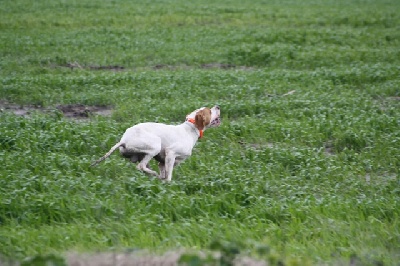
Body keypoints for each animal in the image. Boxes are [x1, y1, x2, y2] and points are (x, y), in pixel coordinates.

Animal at [90, 105, 220, 182]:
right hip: (155, 146)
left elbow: (163, 172)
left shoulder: (164, 161)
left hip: (141, 155)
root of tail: (123, 140)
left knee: (143, 167)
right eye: (209, 111)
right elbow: (168, 175)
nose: (218, 106)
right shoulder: (170, 153)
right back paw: (153, 173)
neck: (189, 129)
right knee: (141, 166)